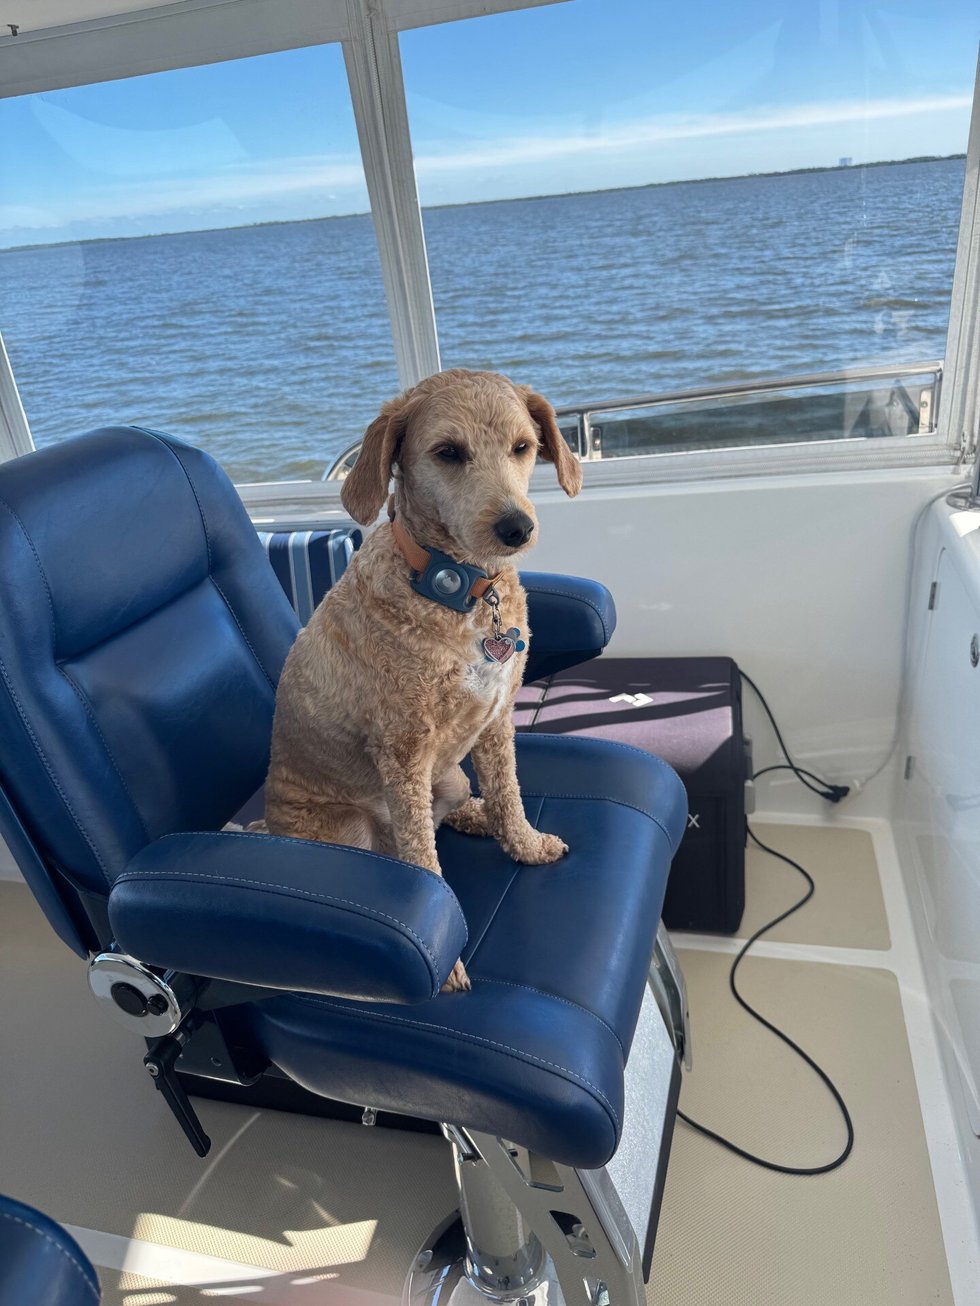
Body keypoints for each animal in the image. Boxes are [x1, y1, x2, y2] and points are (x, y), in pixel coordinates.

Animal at [263, 369, 582, 991]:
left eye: (523, 447)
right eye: (448, 453)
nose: (517, 528)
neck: (455, 589)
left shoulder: (496, 722)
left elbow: (509, 794)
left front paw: (524, 844)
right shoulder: (403, 751)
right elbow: (424, 865)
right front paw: (446, 958)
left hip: (451, 776)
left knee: (446, 812)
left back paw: (478, 818)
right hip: (351, 826)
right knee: (403, 850)